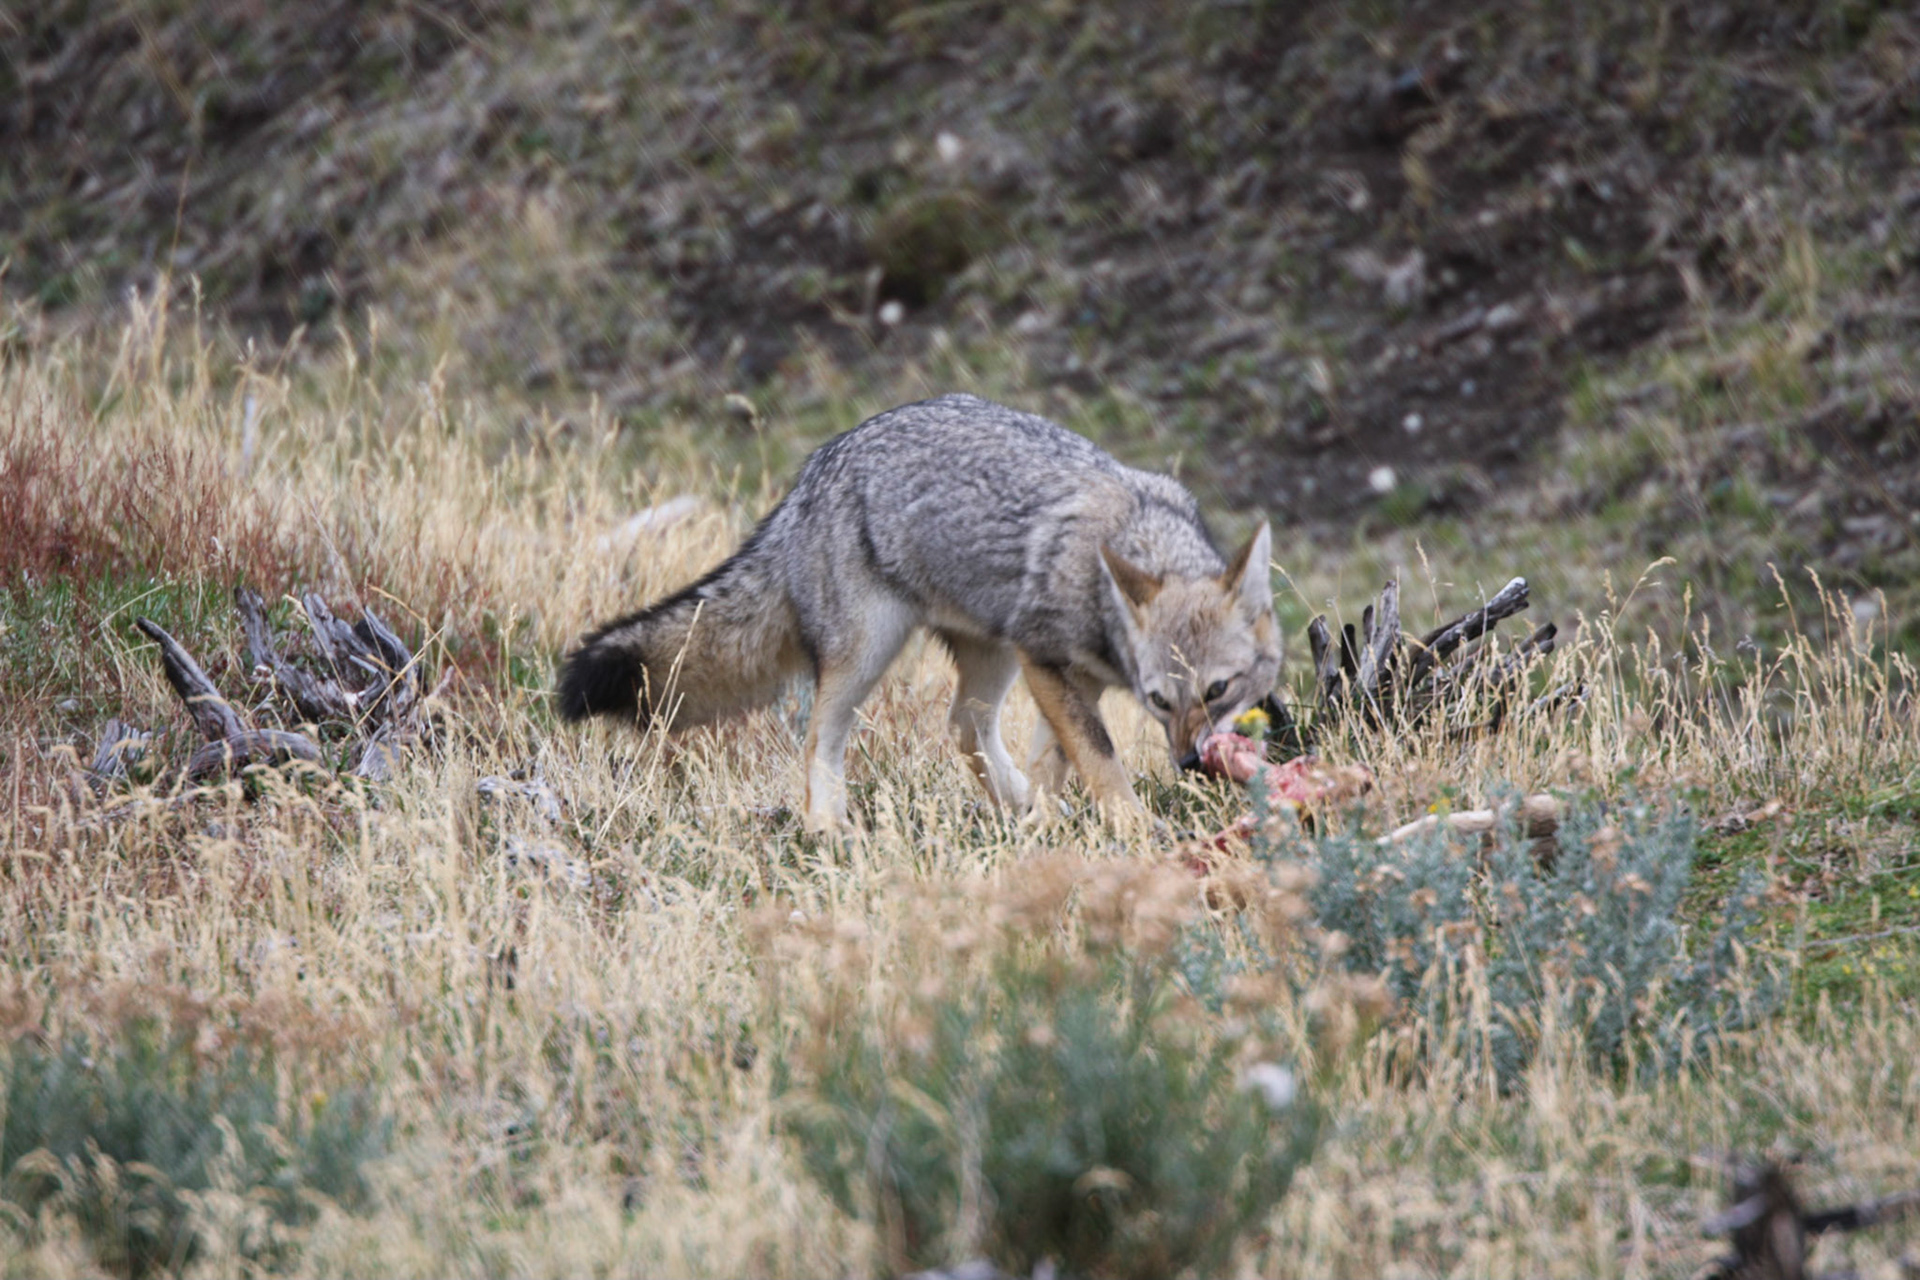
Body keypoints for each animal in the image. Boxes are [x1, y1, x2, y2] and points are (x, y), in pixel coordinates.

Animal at [556, 393, 1281, 832]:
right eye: (1161, 701)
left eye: (1219, 690)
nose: (1189, 763)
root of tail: (815, 469)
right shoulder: (1045, 661)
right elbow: (1099, 756)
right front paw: (1131, 828)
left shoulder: (1073, 678)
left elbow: (1061, 759)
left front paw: (1047, 823)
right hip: (871, 653)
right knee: (820, 738)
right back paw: (827, 829)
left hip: (989, 656)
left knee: (962, 727)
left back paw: (1013, 804)